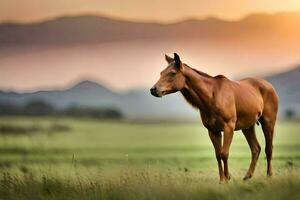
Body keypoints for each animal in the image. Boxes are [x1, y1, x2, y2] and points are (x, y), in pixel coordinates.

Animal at [150, 53, 278, 183]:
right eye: (161, 73)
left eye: (172, 73)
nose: (154, 89)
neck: (211, 97)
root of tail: (270, 86)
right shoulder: (212, 130)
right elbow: (217, 155)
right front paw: (222, 180)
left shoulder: (228, 127)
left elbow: (224, 154)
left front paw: (227, 178)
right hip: (248, 127)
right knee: (256, 149)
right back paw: (247, 176)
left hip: (268, 122)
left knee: (268, 148)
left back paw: (269, 175)